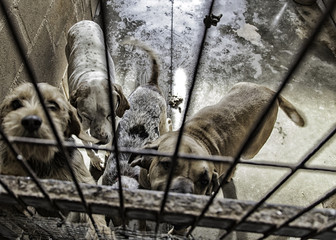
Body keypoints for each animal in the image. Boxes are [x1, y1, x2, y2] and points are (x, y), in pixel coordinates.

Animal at [65, 20, 130, 172]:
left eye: (110, 114)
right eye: (86, 116)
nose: (101, 139)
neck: (92, 77)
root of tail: (83, 21)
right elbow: (88, 149)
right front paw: (95, 160)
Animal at [131, 82, 304, 234]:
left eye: (204, 181)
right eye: (167, 165)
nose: (182, 198)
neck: (194, 136)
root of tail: (269, 91)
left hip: (251, 149)